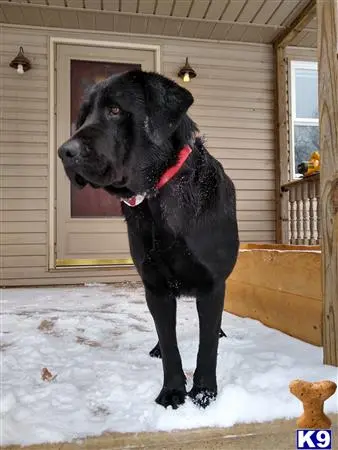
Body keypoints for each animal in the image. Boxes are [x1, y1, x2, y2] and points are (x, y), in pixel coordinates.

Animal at [58, 68, 239, 410]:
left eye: (115, 110)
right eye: (84, 116)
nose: (65, 152)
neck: (159, 199)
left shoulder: (212, 283)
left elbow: (207, 344)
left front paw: (204, 392)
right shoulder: (154, 286)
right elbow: (170, 344)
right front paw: (172, 391)